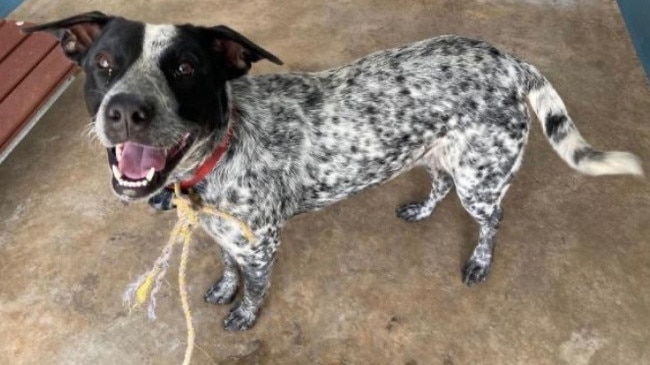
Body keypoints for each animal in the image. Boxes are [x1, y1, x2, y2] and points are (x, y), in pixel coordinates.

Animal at [26, 11, 644, 330]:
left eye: (184, 68)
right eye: (103, 64)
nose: (126, 111)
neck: (222, 151)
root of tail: (511, 61)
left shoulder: (262, 245)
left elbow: (253, 287)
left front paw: (243, 314)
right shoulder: (226, 234)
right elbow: (226, 266)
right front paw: (222, 289)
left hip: (482, 178)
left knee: (492, 221)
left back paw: (479, 261)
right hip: (439, 153)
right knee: (438, 182)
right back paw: (421, 209)